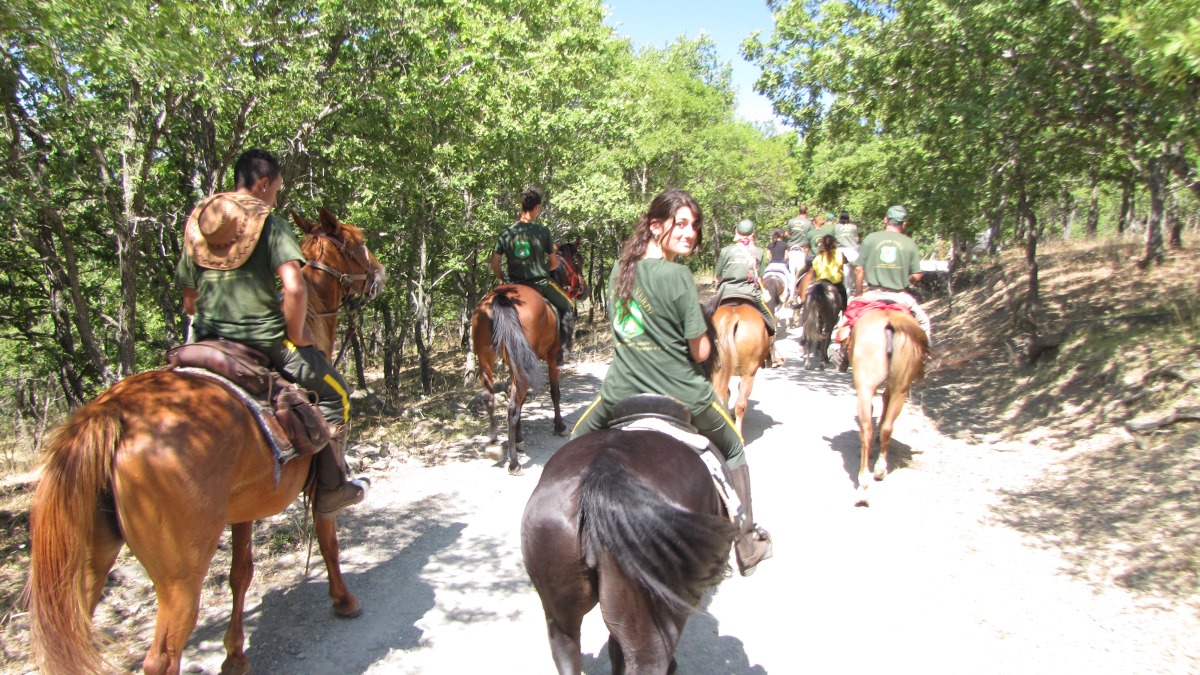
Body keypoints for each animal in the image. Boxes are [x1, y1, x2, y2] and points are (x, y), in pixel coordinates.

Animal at [25, 207, 384, 667]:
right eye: (359, 243)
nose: (380, 272)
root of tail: (111, 414)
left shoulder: (244, 506)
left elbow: (241, 573)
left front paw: (235, 656)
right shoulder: (318, 489)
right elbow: (329, 541)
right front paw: (343, 601)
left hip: (88, 561)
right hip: (181, 576)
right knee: (162, 656)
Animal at [470, 281, 564, 470]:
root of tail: (500, 296)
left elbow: (522, 400)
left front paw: (519, 439)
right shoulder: (552, 356)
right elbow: (554, 393)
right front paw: (559, 426)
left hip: (486, 356)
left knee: (490, 397)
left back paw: (493, 444)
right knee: (512, 408)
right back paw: (514, 463)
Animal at [844, 307, 926, 502]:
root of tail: (890, 322)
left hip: (868, 386)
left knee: (869, 428)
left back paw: (866, 478)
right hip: (899, 388)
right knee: (885, 426)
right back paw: (877, 471)